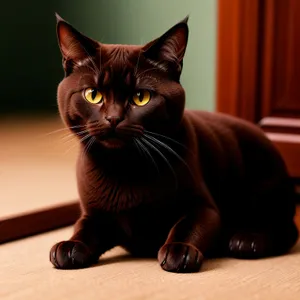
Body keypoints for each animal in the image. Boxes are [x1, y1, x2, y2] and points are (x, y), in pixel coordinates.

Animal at [49, 13, 298, 272]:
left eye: (141, 97)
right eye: (93, 94)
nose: (113, 118)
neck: (124, 167)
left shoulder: (204, 208)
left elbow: (188, 225)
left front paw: (180, 250)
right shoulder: (94, 214)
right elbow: (84, 227)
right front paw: (70, 246)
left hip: (263, 190)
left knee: (287, 228)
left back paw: (247, 241)